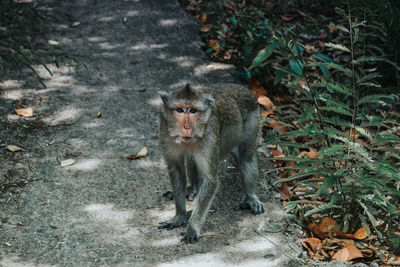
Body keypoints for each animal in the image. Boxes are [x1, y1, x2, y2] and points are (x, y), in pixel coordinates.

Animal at [157, 84, 266, 245]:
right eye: (180, 110)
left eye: (193, 111)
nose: (187, 127)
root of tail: (245, 89)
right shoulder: (165, 133)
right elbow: (176, 170)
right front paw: (179, 217)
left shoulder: (210, 136)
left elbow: (211, 180)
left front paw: (192, 228)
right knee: (191, 158)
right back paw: (192, 188)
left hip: (254, 120)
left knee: (246, 158)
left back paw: (251, 197)